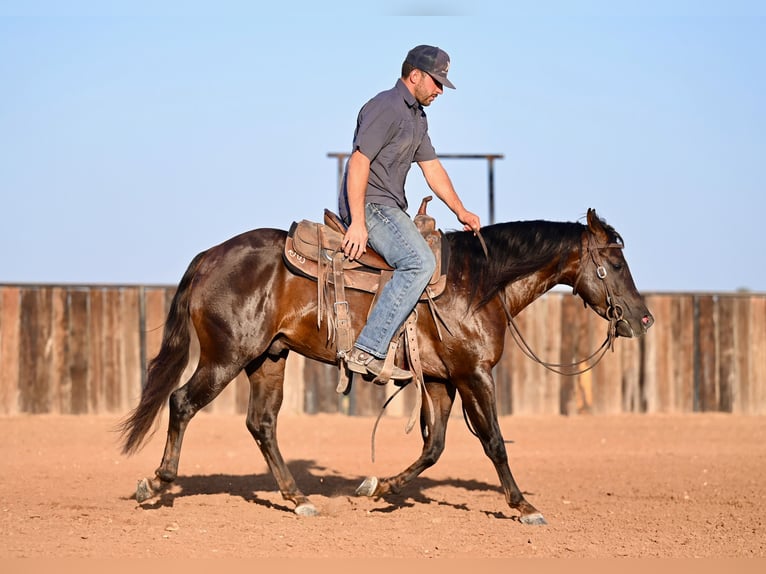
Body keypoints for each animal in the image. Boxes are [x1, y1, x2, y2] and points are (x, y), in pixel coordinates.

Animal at [120, 208, 656, 528]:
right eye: (616, 263)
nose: (644, 318)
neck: (479, 283)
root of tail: (209, 258)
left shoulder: (440, 381)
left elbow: (434, 447)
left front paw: (378, 486)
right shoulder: (474, 375)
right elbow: (495, 442)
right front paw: (524, 506)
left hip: (267, 358)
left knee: (262, 424)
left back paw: (298, 498)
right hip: (226, 357)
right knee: (181, 403)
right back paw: (156, 484)